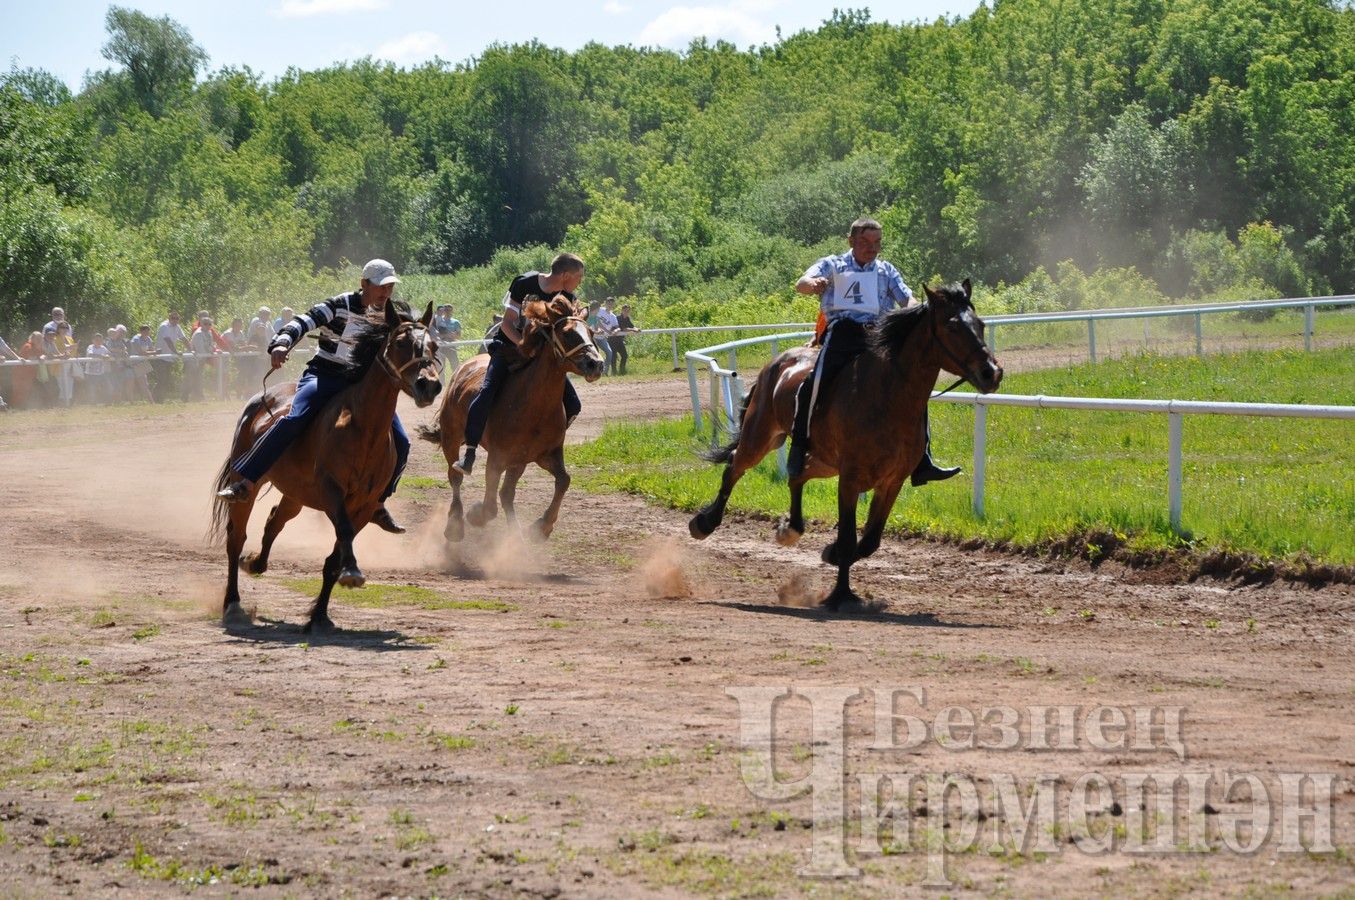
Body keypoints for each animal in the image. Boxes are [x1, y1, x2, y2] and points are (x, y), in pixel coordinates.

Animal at [205, 302, 441, 631]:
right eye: (400, 344)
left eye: (434, 345)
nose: (429, 386)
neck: (362, 427)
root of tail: (260, 399)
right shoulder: (332, 491)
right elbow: (343, 532)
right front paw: (352, 574)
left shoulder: (365, 504)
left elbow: (336, 554)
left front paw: (320, 615)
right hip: (247, 482)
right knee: (235, 539)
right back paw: (233, 604)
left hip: (295, 494)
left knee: (275, 521)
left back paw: (255, 563)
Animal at [420, 296, 607, 542]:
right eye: (567, 333)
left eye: (591, 333)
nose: (596, 364)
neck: (534, 408)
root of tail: (464, 367)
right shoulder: (497, 458)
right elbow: (490, 505)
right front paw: (475, 515)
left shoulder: (545, 454)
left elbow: (563, 480)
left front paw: (543, 526)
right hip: (451, 438)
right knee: (455, 476)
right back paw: (455, 524)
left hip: (518, 460)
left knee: (507, 493)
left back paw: (516, 534)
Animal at [693, 281, 1002, 612]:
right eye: (952, 326)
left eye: (981, 325)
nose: (992, 372)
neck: (888, 396)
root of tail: (777, 364)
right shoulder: (850, 479)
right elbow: (848, 537)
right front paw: (840, 595)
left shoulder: (891, 481)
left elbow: (868, 541)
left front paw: (830, 556)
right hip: (761, 436)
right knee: (735, 466)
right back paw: (704, 522)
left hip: (824, 461)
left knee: (796, 475)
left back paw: (791, 528)